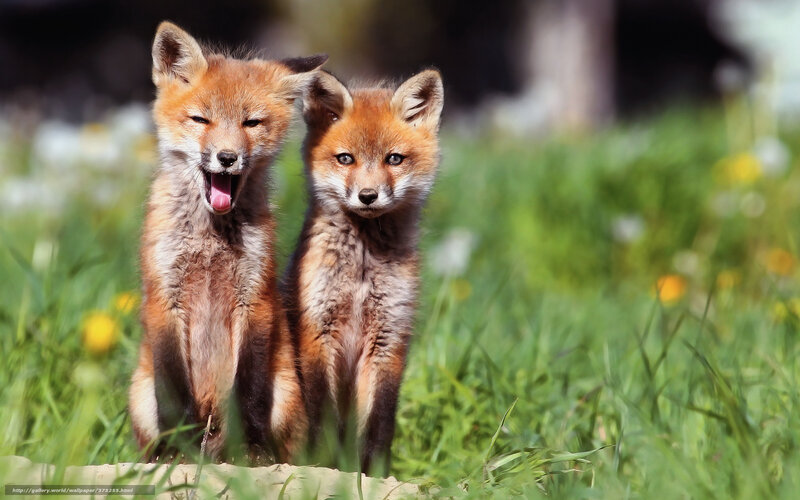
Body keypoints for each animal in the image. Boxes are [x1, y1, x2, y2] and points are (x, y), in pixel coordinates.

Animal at [128, 21, 325, 462]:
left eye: (251, 123)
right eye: (201, 119)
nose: (227, 158)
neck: (209, 239)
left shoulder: (254, 298)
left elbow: (248, 390)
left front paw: (249, 447)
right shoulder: (164, 298)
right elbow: (174, 392)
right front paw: (177, 448)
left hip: (285, 394)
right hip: (140, 395)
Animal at [282, 69, 444, 474]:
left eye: (394, 159)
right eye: (345, 158)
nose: (368, 196)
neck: (361, 271)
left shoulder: (388, 338)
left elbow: (379, 424)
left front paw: (373, 475)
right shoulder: (317, 332)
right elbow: (325, 419)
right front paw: (325, 467)